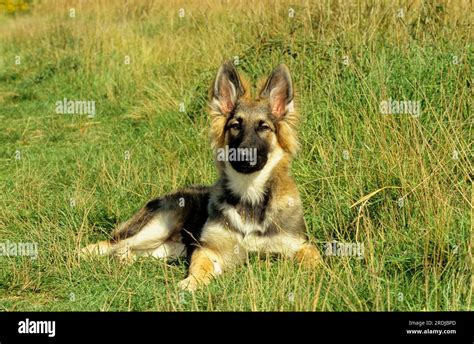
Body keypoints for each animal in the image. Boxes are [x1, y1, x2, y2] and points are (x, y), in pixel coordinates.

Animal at [83, 61, 324, 290]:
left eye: (263, 127)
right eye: (235, 125)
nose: (244, 156)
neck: (250, 196)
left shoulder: (298, 244)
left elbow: (315, 258)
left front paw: (323, 275)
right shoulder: (209, 249)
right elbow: (200, 268)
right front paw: (190, 283)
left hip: (170, 248)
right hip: (158, 225)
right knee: (108, 245)